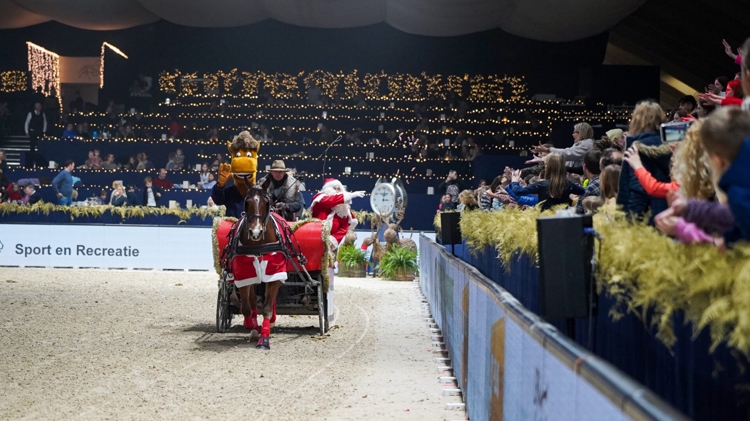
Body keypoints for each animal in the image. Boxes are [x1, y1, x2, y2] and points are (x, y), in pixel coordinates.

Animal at [238, 186, 288, 348]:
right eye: (247, 202)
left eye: (266, 202)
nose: (255, 232)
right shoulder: (244, 273)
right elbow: (246, 309)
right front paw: (253, 328)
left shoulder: (274, 271)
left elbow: (267, 308)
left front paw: (264, 339)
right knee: (253, 301)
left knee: (270, 299)